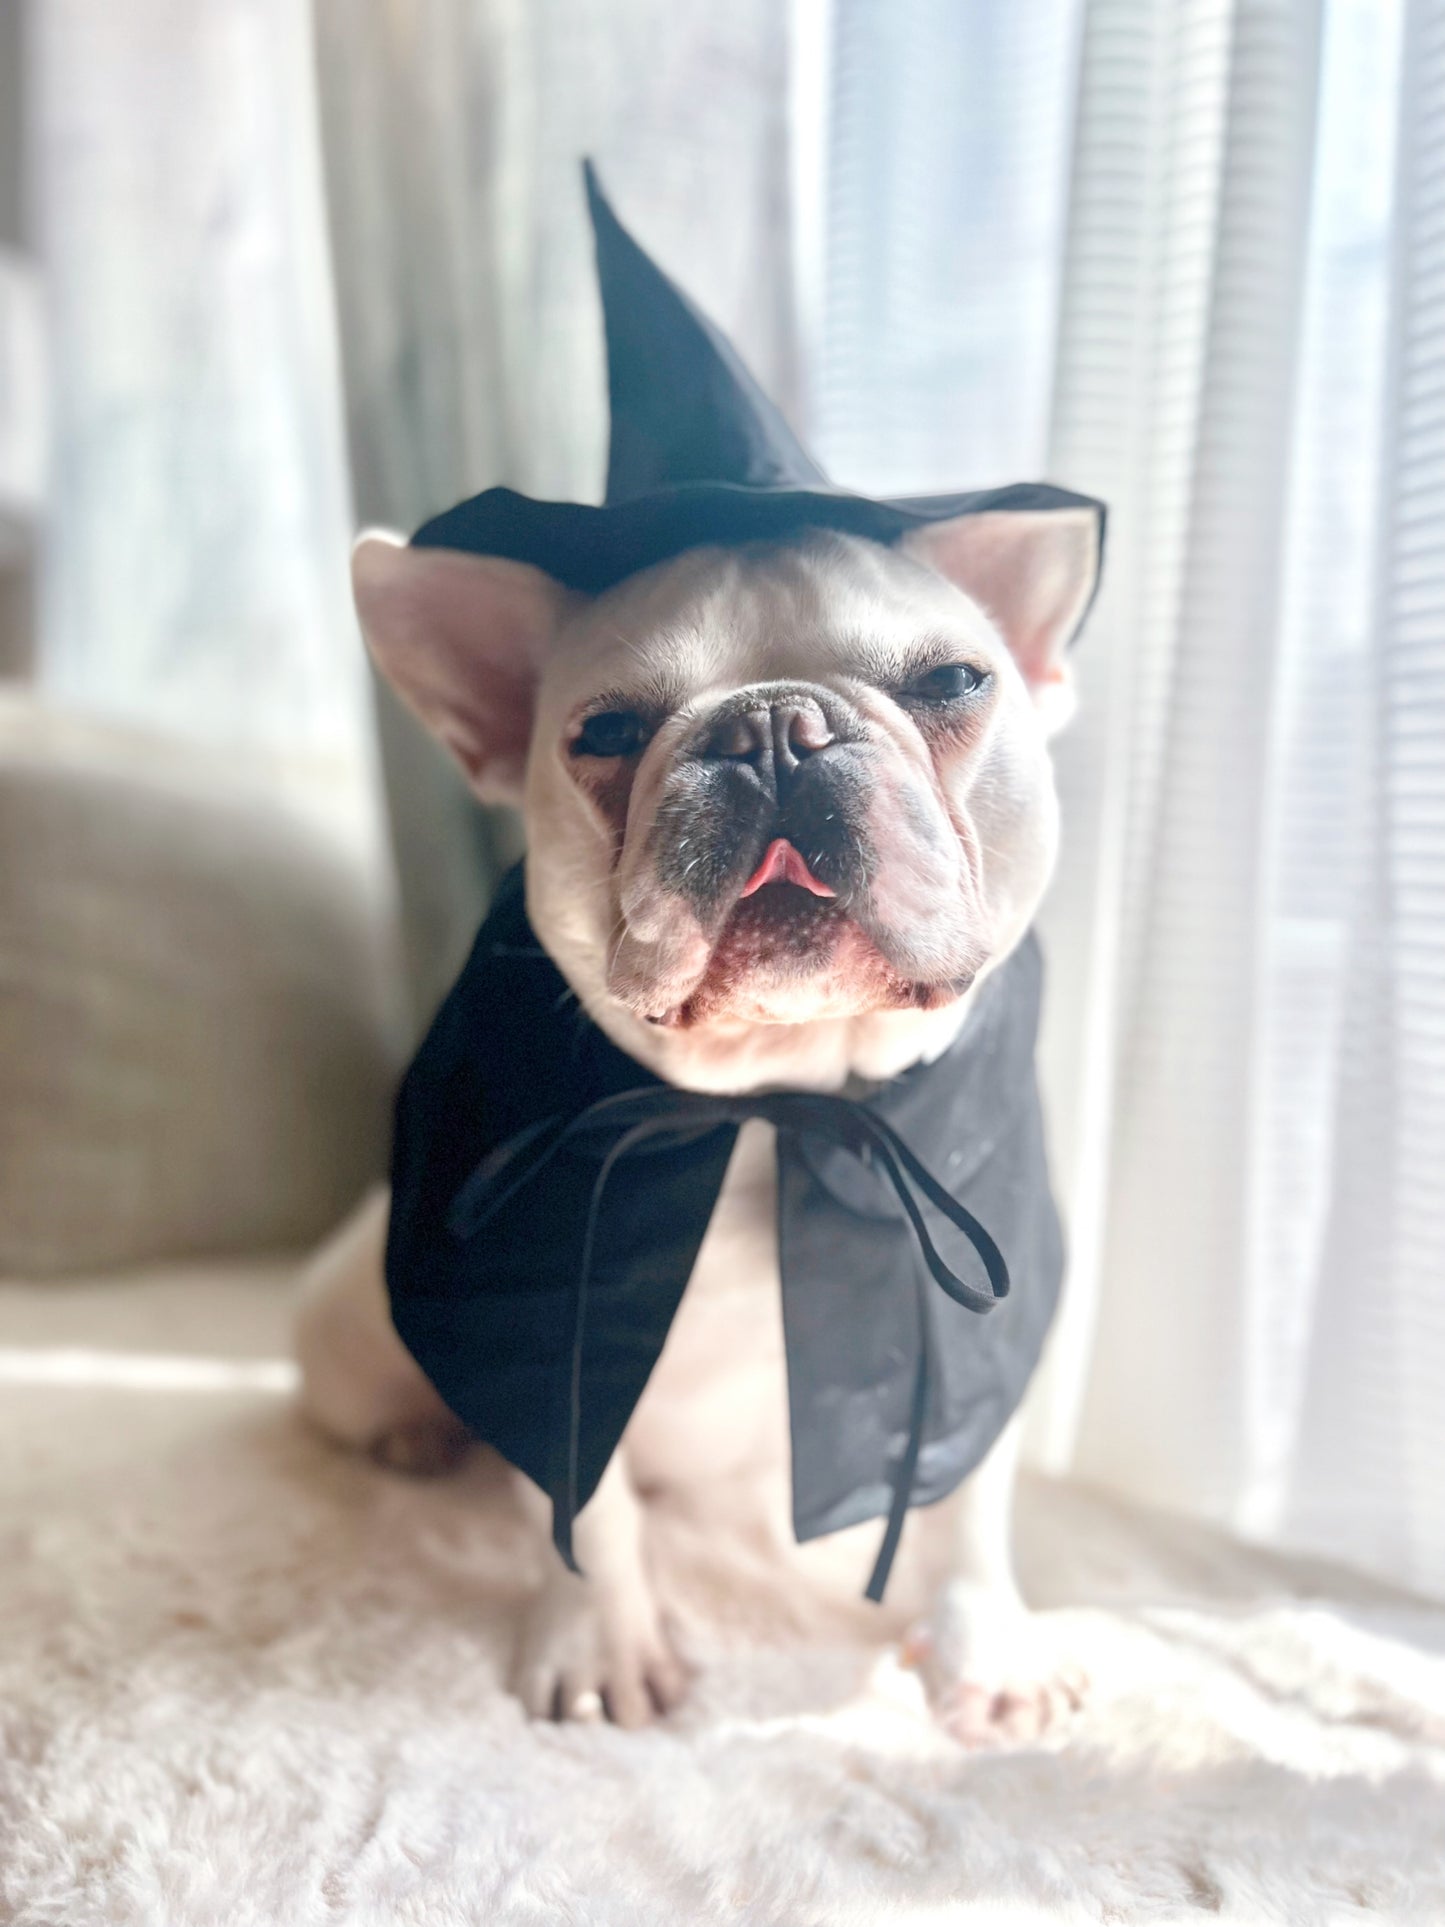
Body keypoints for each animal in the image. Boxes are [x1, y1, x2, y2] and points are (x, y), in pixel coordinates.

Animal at [296, 499, 1096, 1739]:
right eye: (607, 729)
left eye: (952, 680)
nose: (770, 729)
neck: (777, 1098)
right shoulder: (556, 1331)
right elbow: (586, 1512)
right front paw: (598, 1643)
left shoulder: (977, 1319)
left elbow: (967, 1499)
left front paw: (989, 1649)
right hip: (340, 1330)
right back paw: (416, 1433)